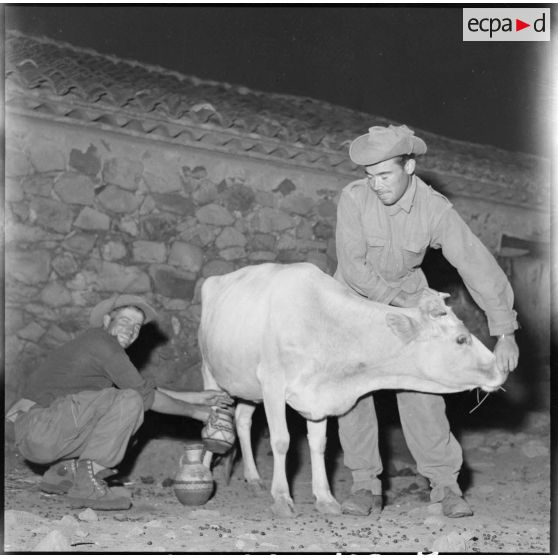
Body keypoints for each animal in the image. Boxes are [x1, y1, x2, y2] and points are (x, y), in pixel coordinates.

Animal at [199, 264, 510, 520]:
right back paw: (204, 472)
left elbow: (319, 445)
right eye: (461, 339)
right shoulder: (273, 382)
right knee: (212, 419)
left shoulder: (318, 395)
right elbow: (281, 441)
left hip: (247, 386)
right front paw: (282, 499)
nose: (500, 368)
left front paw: (325, 499)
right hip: (211, 374)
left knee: (242, 420)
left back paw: (252, 478)